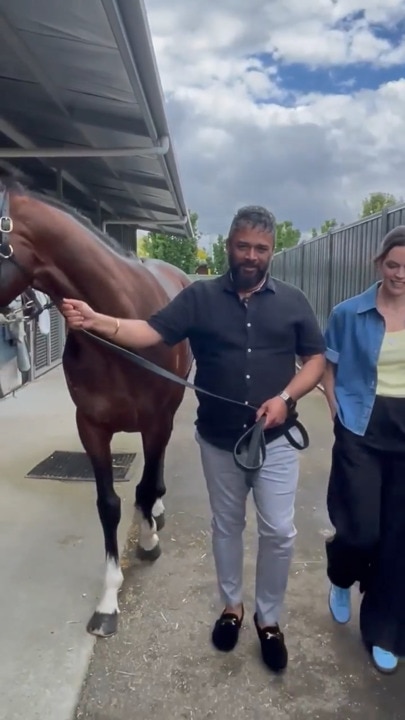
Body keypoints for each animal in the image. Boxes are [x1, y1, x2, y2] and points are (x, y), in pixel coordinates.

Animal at [0, 177, 193, 640]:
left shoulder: (155, 422)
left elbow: (143, 487)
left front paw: (147, 542)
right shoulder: (90, 426)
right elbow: (109, 505)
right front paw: (108, 600)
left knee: (156, 473)